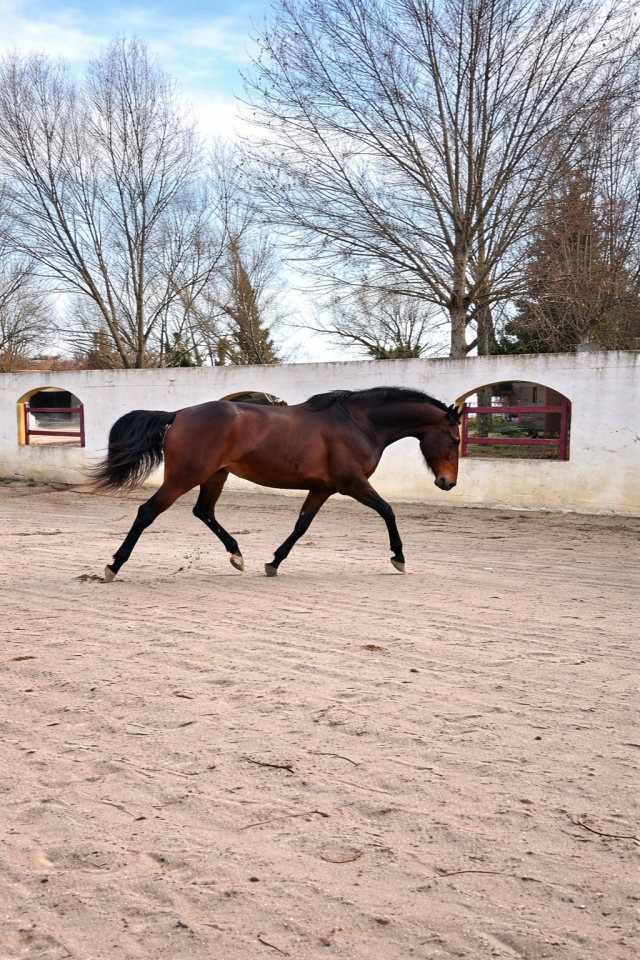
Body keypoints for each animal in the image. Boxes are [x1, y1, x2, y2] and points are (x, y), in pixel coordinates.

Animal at [90, 386, 462, 582]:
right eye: (455, 439)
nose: (448, 483)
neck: (359, 424)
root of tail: (178, 414)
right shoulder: (352, 483)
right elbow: (388, 511)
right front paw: (399, 558)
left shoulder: (323, 488)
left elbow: (301, 525)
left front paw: (273, 563)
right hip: (185, 477)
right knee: (147, 511)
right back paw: (113, 565)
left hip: (215, 475)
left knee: (204, 511)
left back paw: (237, 555)